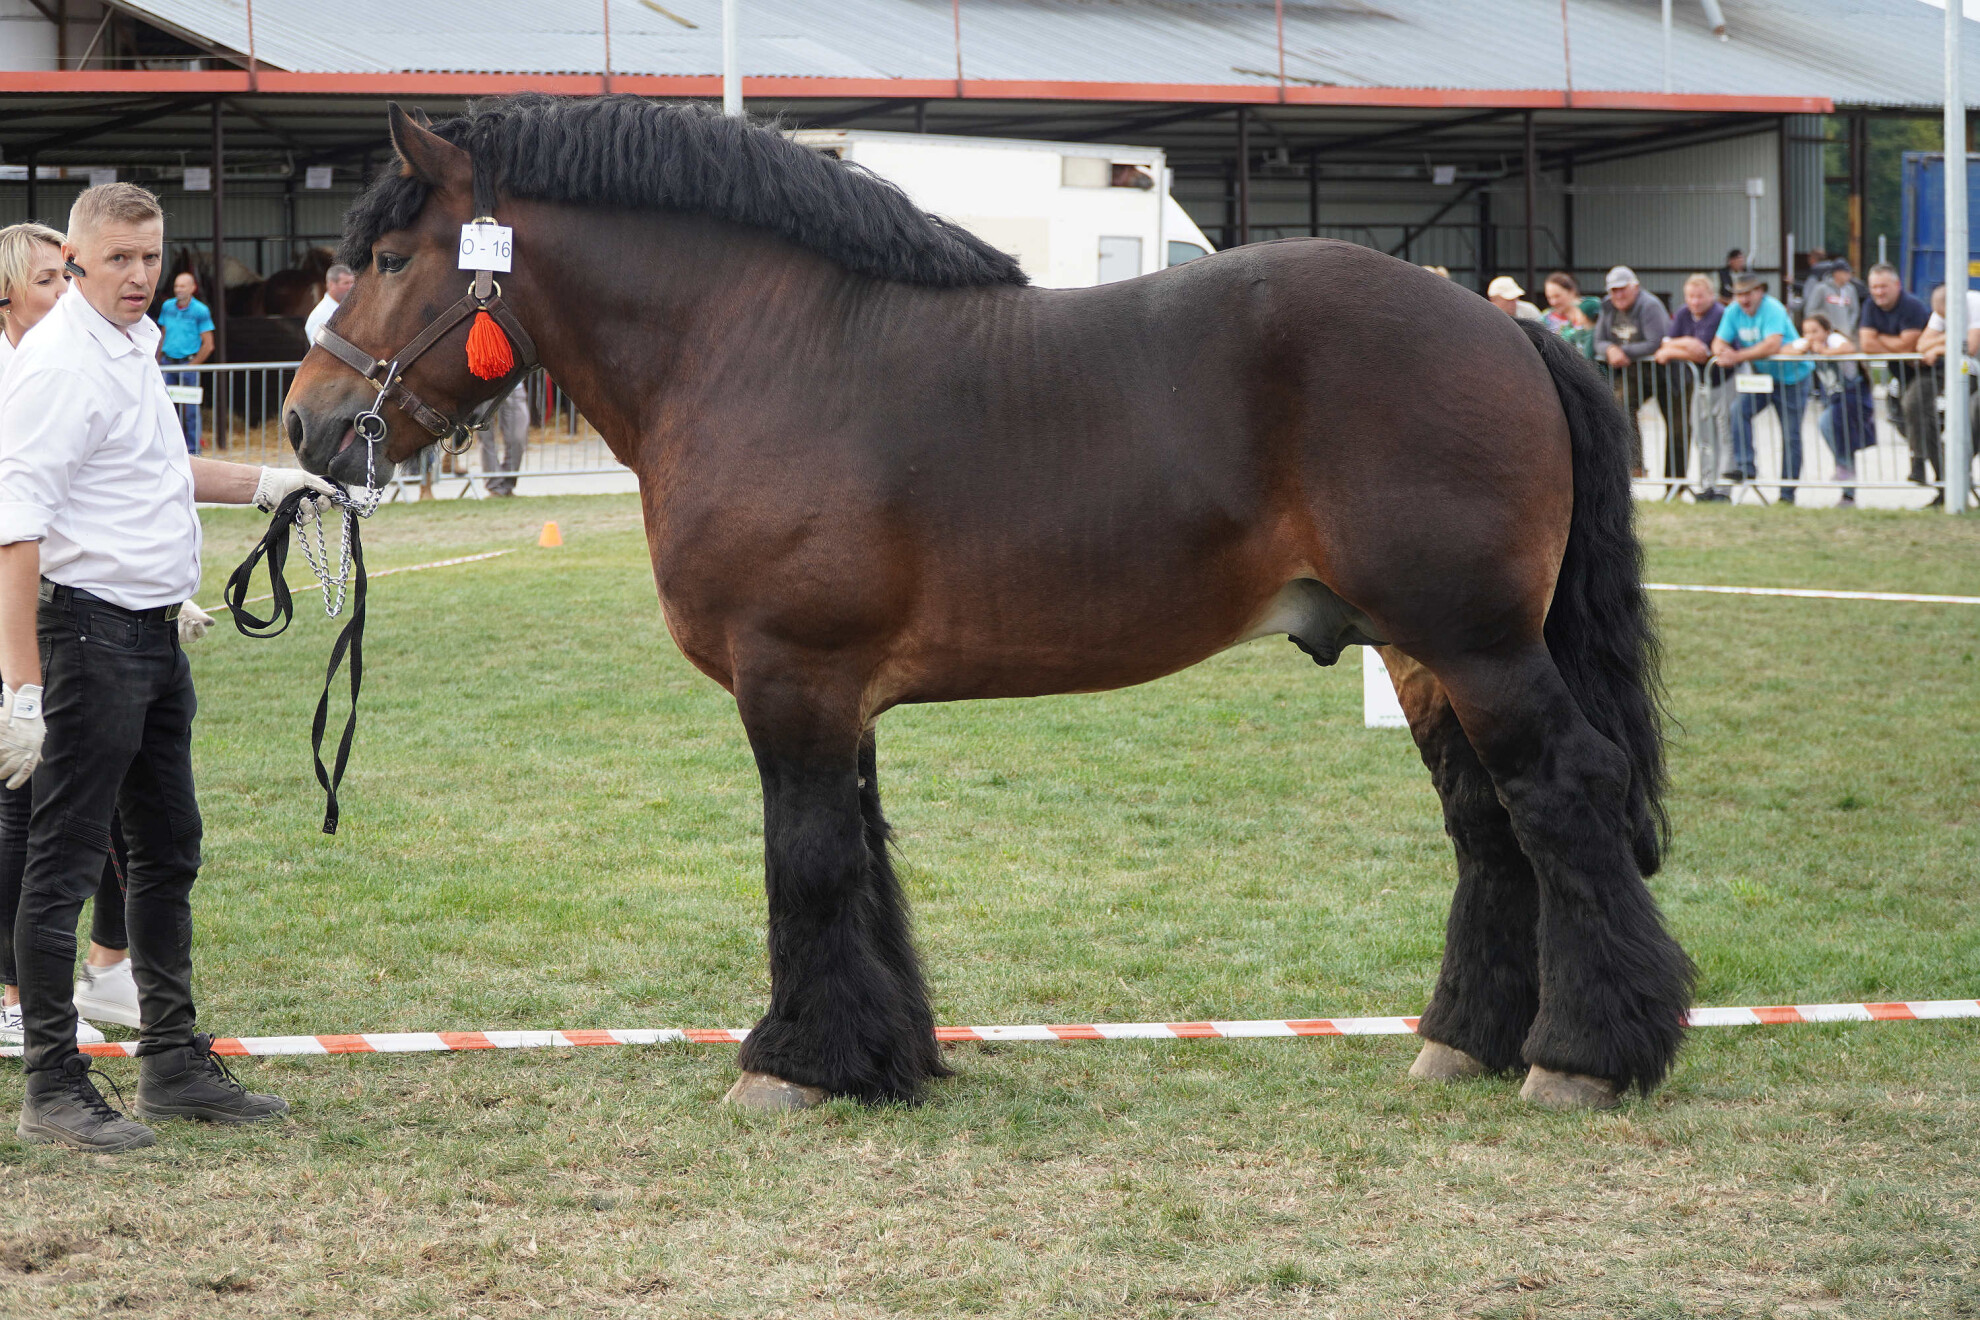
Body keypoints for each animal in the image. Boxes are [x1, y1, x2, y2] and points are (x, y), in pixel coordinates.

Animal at [281, 96, 1694, 1113]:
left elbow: (804, 860)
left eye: (390, 256)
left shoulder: (792, 678)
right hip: (1419, 654)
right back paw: (1465, 1039)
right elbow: (861, 861)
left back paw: (1584, 1056)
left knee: (1563, 792)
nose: (306, 423)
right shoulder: (837, 696)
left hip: (1479, 643)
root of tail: (1509, 328)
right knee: (1488, 824)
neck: (763, 354)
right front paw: (883, 1056)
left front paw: (789, 1066)